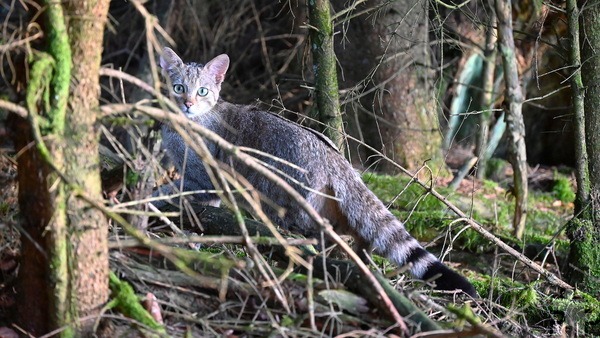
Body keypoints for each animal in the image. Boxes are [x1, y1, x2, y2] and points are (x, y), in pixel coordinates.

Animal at [155, 46, 478, 296]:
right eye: (179, 87)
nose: (188, 103)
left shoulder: (202, 177)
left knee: (319, 232)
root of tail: (332, 155)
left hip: (284, 203)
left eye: (202, 91)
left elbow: (174, 192)